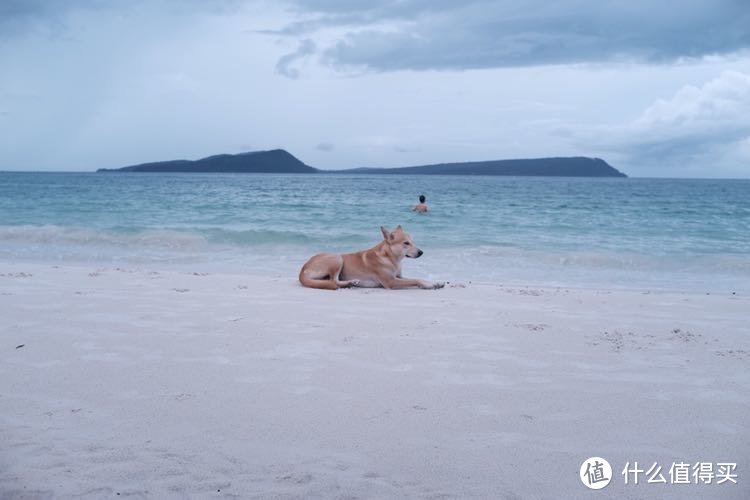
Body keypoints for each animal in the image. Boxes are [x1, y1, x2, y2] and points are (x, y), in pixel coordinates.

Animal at [300, 226, 446, 292]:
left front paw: (434, 282)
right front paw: (428, 285)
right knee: (333, 281)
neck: (390, 258)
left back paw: (350, 283)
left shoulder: (398, 276)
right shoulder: (391, 282)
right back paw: (350, 282)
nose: (421, 252)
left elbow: (416, 278)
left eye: (413, 242)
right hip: (337, 258)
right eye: (406, 243)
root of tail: (302, 271)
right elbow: (415, 280)